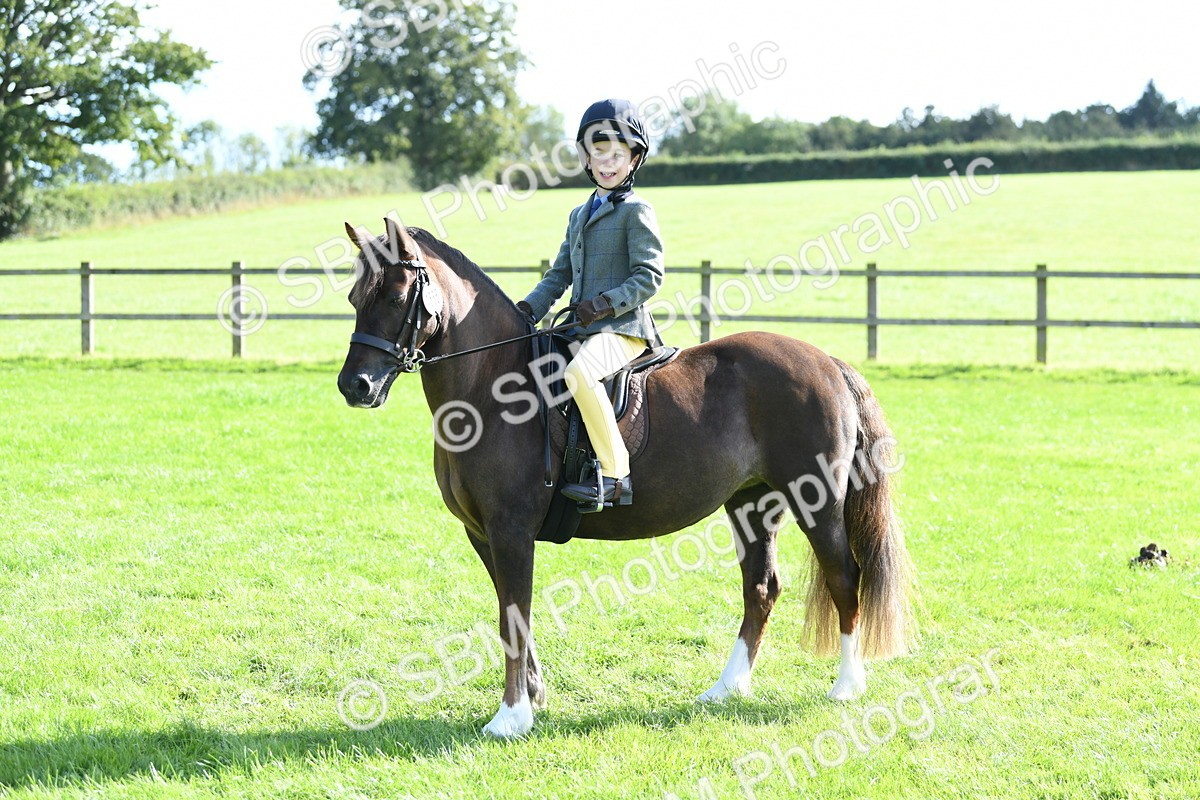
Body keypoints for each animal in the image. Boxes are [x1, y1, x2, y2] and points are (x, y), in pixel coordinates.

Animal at [337, 217, 916, 738]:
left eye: (397, 297)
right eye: (354, 297)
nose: (354, 386)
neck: (492, 387)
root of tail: (828, 362)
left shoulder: (510, 531)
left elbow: (513, 615)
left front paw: (510, 718)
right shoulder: (483, 534)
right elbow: (511, 612)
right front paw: (534, 697)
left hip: (816, 501)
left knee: (844, 577)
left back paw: (846, 687)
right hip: (751, 503)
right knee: (762, 587)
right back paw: (726, 688)